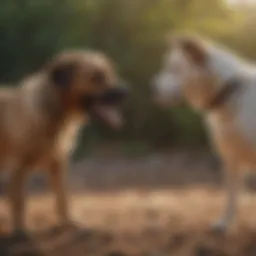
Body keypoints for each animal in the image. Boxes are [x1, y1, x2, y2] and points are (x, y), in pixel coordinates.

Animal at [0, 49, 128, 232]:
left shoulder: (58, 163)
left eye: (110, 74)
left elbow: (62, 198)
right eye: (96, 77)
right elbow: (19, 202)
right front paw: (20, 231)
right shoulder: (18, 167)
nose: (126, 92)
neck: (52, 111)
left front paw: (69, 223)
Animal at [153, 34, 256, 232]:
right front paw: (224, 223)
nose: (152, 89)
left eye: (174, 69)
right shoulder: (231, 157)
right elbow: (231, 194)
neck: (229, 95)